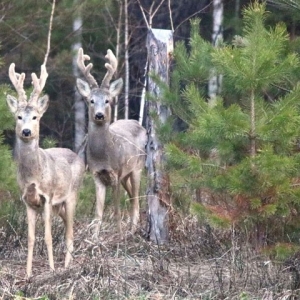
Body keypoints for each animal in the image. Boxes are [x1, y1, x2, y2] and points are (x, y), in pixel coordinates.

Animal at [7, 62, 84, 278]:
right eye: (18, 116)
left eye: (35, 117)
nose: (26, 131)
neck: (33, 176)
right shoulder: (28, 201)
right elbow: (31, 237)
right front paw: (28, 274)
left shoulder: (47, 197)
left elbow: (48, 235)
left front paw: (51, 269)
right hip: (59, 206)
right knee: (67, 226)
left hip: (72, 194)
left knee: (70, 231)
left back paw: (66, 266)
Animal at [76, 48, 146, 234]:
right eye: (91, 100)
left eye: (107, 100)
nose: (99, 115)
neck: (103, 155)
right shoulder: (96, 175)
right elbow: (98, 213)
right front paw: (94, 237)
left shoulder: (116, 173)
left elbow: (116, 210)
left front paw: (120, 236)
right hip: (125, 175)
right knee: (132, 198)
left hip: (137, 167)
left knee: (136, 200)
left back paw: (132, 230)